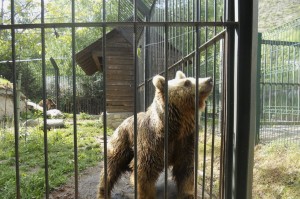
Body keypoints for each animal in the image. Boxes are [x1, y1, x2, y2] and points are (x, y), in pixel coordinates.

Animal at [97, 70, 212, 198]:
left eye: (191, 78)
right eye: (187, 82)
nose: (209, 80)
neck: (174, 129)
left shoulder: (185, 142)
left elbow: (186, 169)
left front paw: (187, 194)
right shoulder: (152, 144)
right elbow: (145, 173)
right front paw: (147, 194)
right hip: (122, 141)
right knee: (110, 168)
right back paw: (103, 192)